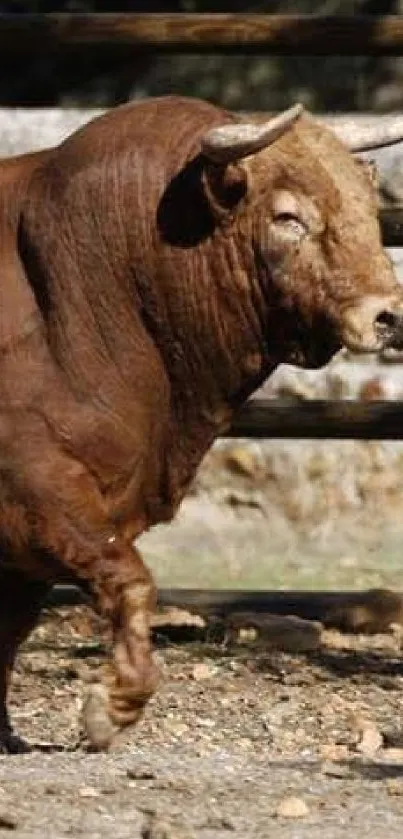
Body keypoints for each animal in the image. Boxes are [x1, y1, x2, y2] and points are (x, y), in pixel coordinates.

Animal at [0, 95, 403, 752]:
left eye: (370, 209)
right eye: (288, 216)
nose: (388, 316)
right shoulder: (40, 489)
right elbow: (129, 581)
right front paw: (111, 708)